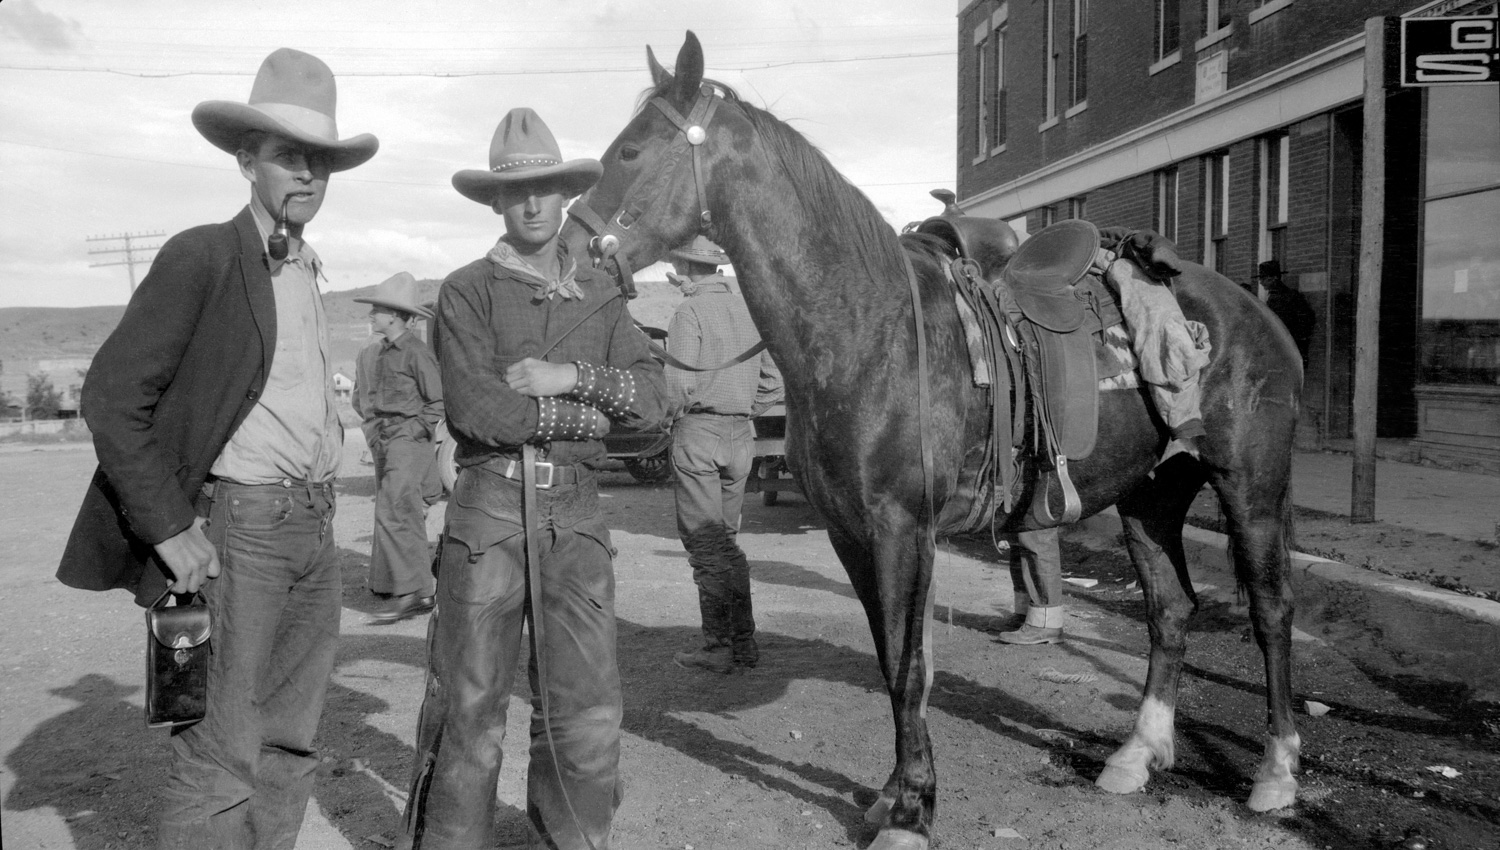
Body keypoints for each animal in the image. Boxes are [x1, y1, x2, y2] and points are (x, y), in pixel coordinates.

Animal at [564, 29, 1302, 845]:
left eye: (630, 151)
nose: (569, 253)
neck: (867, 327)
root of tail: (1251, 312)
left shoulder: (903, 527)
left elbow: (912, 665)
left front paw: (913, 809)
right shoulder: (851, 531)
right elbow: (892, 659)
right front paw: (892, 793)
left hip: (1249, 484)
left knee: (1271, 611)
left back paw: (1276, 773)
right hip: (1151, 494)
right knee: (1170, 611)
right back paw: (1137, 755)